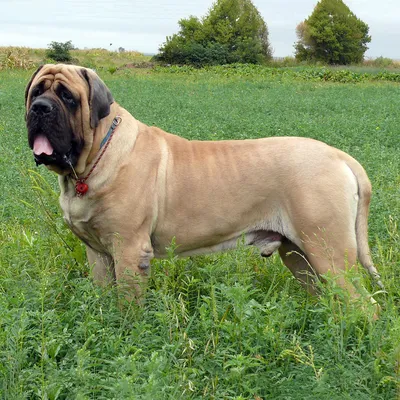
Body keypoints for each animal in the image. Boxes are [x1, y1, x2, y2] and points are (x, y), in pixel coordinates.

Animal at [25, 64, 382, 304]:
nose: (39, 109)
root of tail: (340, 156)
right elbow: (103, 298)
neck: (95, 155)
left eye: (68, 97)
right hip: (299, 255)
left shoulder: (128, 251)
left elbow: (128, 307)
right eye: (36, 92)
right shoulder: (98, 254)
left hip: (329, 253)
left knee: (365, 306)